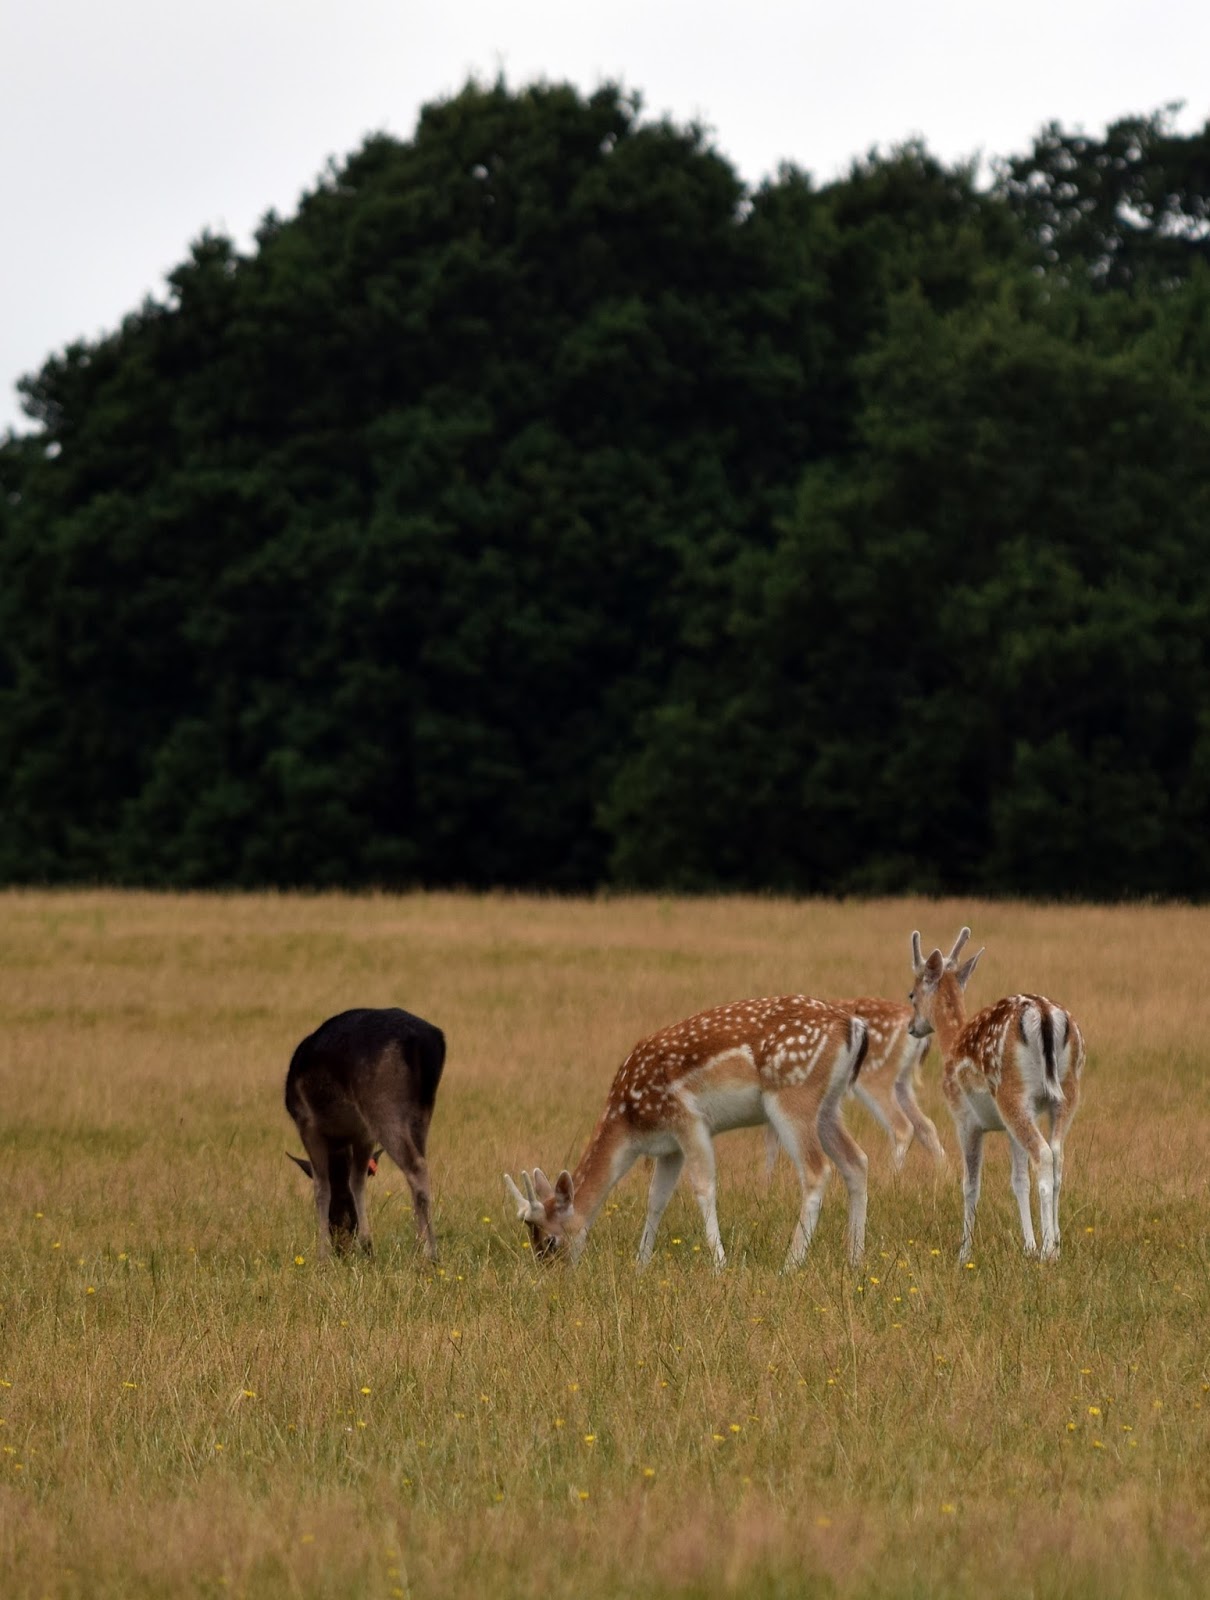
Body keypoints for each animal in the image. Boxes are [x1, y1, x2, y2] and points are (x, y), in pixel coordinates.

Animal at [283, 1011, 444, 1260]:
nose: (341, 1248)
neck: (339, 1140)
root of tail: (424, 1042)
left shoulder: (307, 1125)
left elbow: (321, 1187)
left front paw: (322, 1256)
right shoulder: (363, 1133)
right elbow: (357, 1180)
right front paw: (368, 1246)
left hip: (382, 1103)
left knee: (416, 1166)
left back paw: (429, 1252)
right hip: (422, 1111)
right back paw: (421, 1246)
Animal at [502, 992, 870, 1267]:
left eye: (550, 1241)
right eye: (533, 1242)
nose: (552, 1273)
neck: (630, 1123)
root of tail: (853, 1027)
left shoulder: (688, 1120)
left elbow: (704, 1188)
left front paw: (720, 1265)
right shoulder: (668, 1147)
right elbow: (656, 1199)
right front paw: (640, 1264)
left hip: (793, 1096)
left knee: (817, 1170)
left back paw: (790, 1264)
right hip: (828, 1106)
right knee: (856, 1161)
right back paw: (855, 1260)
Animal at [761, 985, 947, 1177]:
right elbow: (772, 1144)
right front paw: (767, 1181)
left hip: (876, 1076)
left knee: (902, 1127)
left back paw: (889, 1175)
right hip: (901, 1081)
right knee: (926, 1125)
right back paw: (944, 1172)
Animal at [909, 928, 1088, 1260]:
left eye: (911, 995)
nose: (912, 1027)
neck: (951, 1044)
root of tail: (1045, 1013)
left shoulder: (964, 1119)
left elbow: (970, 1184)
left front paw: (963, 1253)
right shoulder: (1007, 1128)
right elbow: (1018, 1181)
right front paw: (1028, 1246)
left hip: (1012, 1093)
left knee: (1043, 1154)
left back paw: (1048, 1250)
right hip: (1066, 1092)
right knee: (1058, 1155)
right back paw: (1055, 1243)